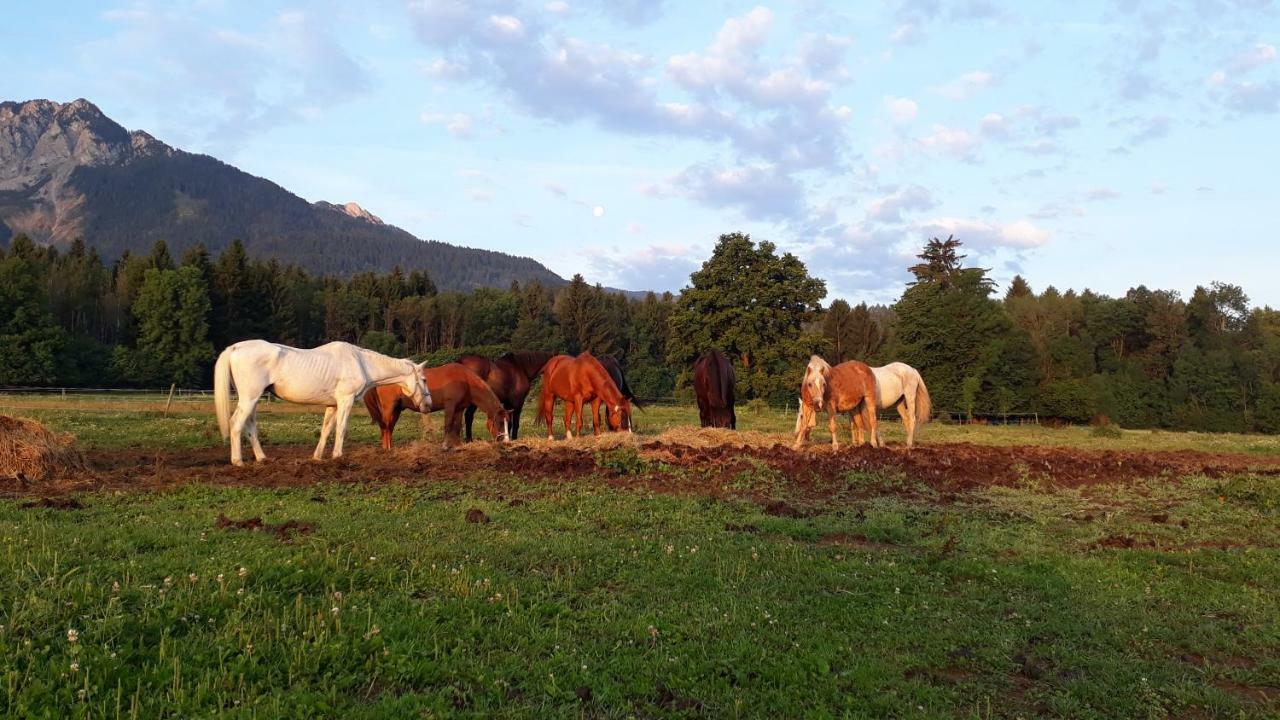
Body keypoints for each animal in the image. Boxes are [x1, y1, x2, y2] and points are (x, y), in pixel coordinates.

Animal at [212, 338, 427, 466]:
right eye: (424, 380)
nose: (427, 405)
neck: (360, 362)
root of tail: (236, 348)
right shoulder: (346, 401)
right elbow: (341, 429)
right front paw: (338, 456)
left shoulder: (333, 405)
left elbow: (326, 430)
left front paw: (317, 457)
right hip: (249, 397)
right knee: (236, 423)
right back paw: (238, 461)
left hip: (253, 399)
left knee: (250, 426)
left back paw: (262, 458)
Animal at [360, 363, 509, 448]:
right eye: (500, 422)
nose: (505, 441)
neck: (465, 381)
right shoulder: (450, 406)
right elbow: (448, 425)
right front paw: (445, 446)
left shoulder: (459, 409)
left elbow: (457, 426)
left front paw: (457, 445)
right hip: (389, 408)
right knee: (385, 427)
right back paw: (387, 449)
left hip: (397, 409)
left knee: (389, 427)